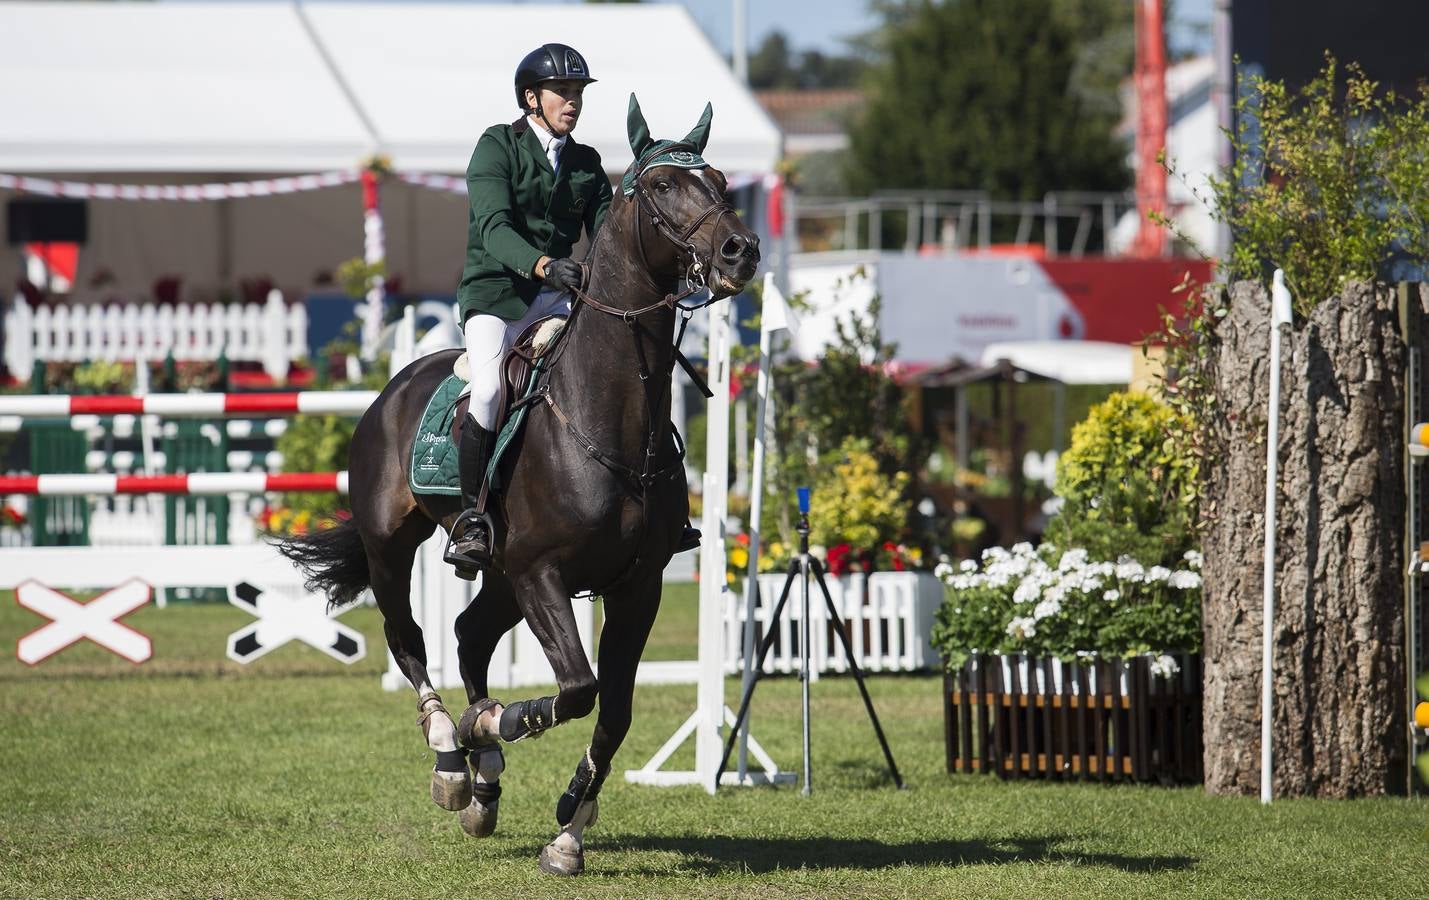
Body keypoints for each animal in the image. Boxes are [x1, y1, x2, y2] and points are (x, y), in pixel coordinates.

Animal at [275, 97, 760, 874]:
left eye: (717, 180)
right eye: (660, 187)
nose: (740, 251)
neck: (609, 414)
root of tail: (393, 388)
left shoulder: (637, 583)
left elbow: (614, 709)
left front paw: (568, 828)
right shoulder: (542, 573)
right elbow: (578, 689)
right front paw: (496, 725)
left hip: (499, 576)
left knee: (470, 635)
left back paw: (484, 783)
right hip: (395, 550)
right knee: (409, 639)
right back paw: (453, 753)